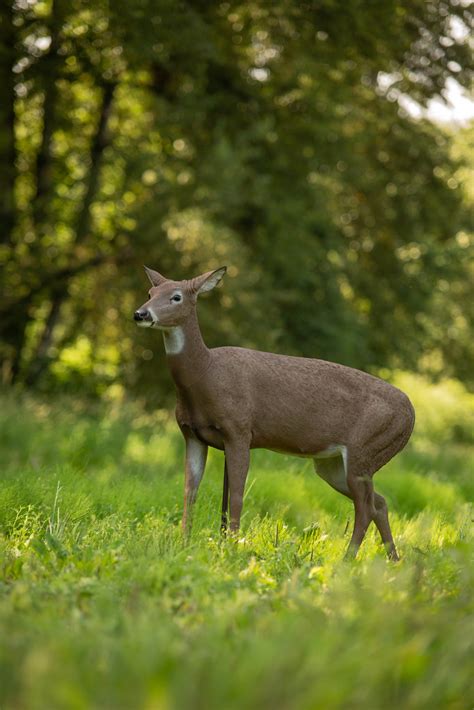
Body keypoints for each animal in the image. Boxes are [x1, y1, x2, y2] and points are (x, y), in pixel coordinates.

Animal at [134, 266, 414, 560]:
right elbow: (191, 491)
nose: (140, 314)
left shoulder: (239, 430)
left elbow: (236, 495)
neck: (206, 374)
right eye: (150, 292)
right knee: (379, 502)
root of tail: (411, 413)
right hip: (333, 463)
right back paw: (393, 560)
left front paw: (231, 549)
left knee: (365, 507)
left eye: (176, 297)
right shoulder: (193, 435)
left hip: (366, 448)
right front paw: (184, 546)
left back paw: (346, 561)